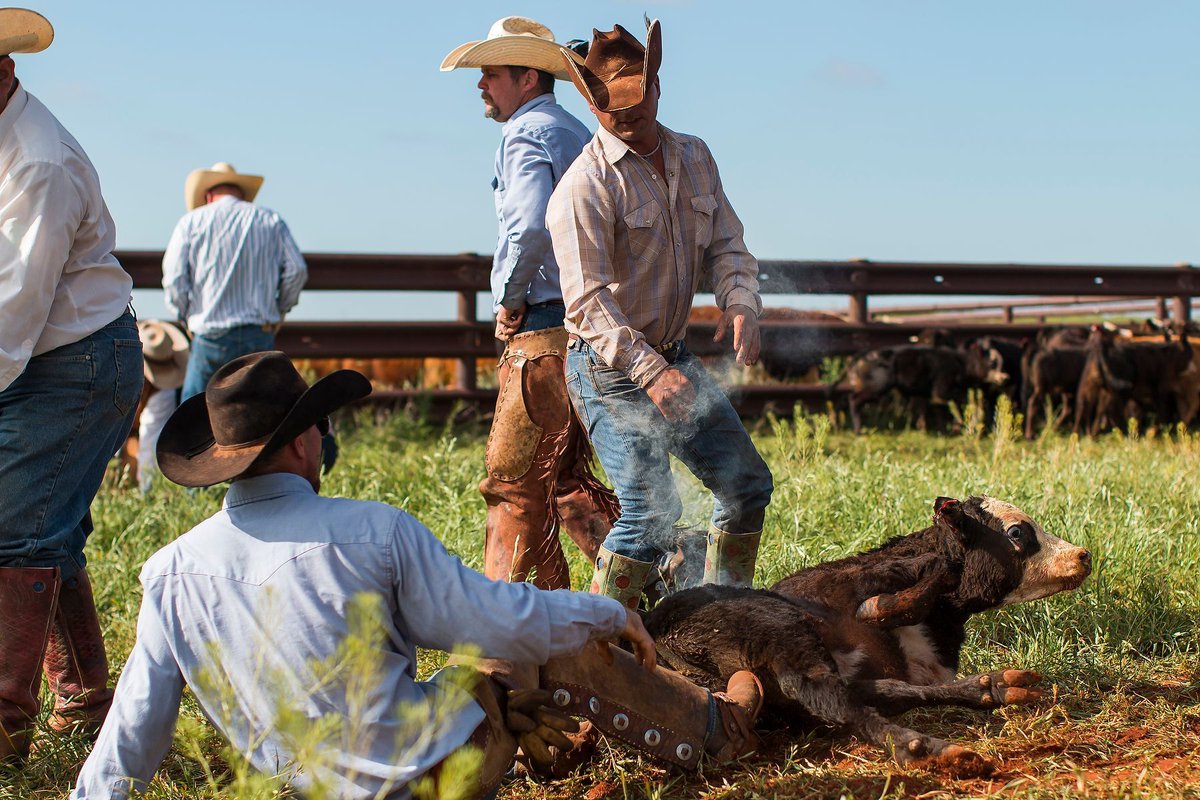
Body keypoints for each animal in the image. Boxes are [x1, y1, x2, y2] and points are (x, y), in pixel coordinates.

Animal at [643, 496, 1092, 776]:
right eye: (1017, 533)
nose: (1083, 555)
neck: (941, 624)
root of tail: (655, 628)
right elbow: (927, 574)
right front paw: (890, 599)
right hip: (779, 629)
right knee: (828, 695)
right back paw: (928, 749)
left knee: (877, 694)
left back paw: (995, 687)